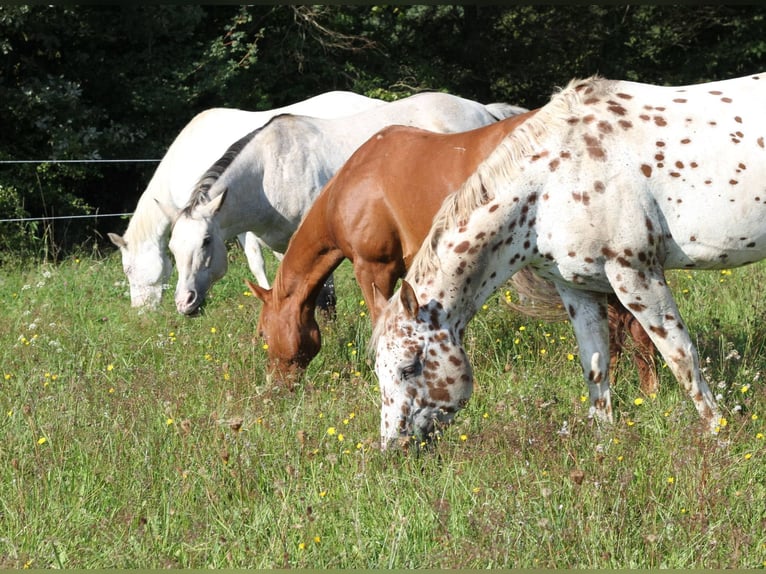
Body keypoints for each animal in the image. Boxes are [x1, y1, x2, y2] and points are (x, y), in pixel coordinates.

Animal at [167, 91, 525, 315]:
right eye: (172, 248)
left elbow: (325, 300)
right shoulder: (287, 246)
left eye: (206, 241)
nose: (184, 302)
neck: (270, 170)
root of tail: (482, 109)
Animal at [371, 73, 765, 448]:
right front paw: (605, 442)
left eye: (409, 367)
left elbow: (682, 357)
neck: (553, 180)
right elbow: (596, 365)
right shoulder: (578, 289)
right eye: (379, 372)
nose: (394, 447)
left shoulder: (637, 276)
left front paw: (718, 432)